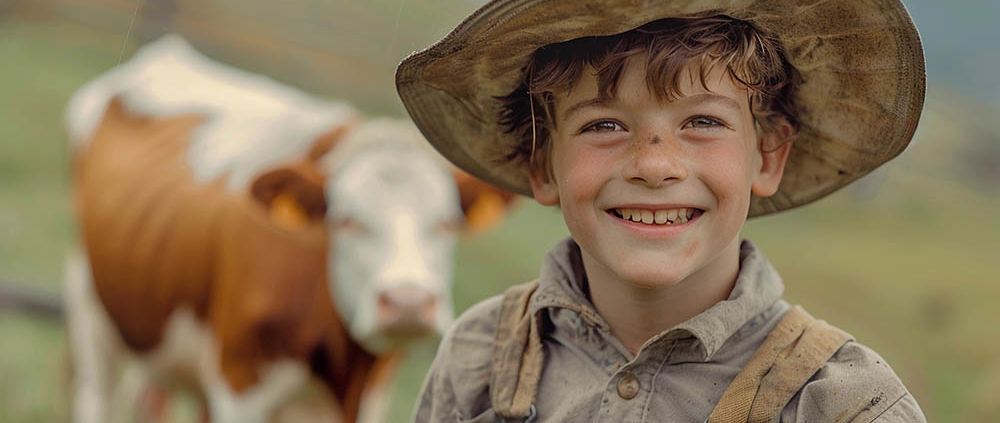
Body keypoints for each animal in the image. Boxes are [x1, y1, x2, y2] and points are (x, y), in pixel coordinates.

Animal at [62, 36, 516, 423]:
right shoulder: (240, 384)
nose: (408, 303)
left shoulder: (371, 396)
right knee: (96, 396)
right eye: (345, 220)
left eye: (447, 222)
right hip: (90, 307)